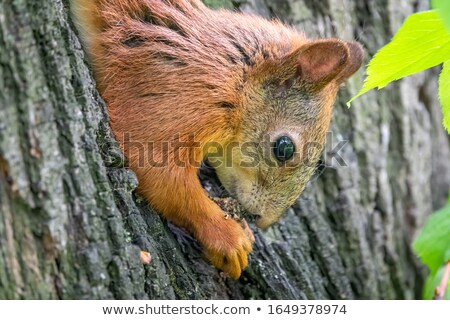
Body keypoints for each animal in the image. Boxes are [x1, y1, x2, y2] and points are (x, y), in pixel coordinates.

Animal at [71, 0, 366, 278]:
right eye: (284, 148)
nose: (261, 220)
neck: (237, 77)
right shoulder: (181, 97)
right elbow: (160, 172)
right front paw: (227, 237)